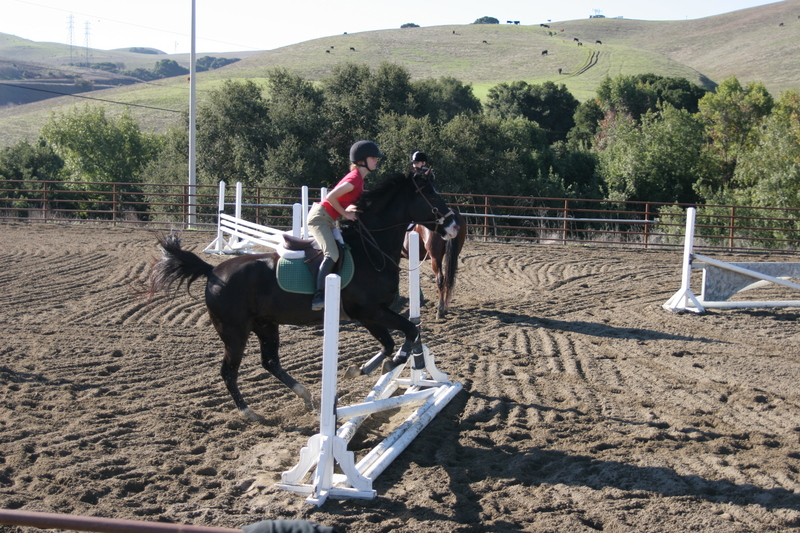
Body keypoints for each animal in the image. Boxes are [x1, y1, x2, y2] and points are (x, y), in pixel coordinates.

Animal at [144, 168, 460, 422]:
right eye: (429, 193)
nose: (453, 225)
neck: (371, 247)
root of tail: (213, 272)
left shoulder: (371, 314)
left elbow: (390, 341)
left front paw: (362, 369)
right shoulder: (369, 311)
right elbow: (407, 332)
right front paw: (392, 362)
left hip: (266, 325)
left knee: (270, 361)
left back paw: (306, 395)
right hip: (234, 332)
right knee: (229, 371)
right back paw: (250, 413)